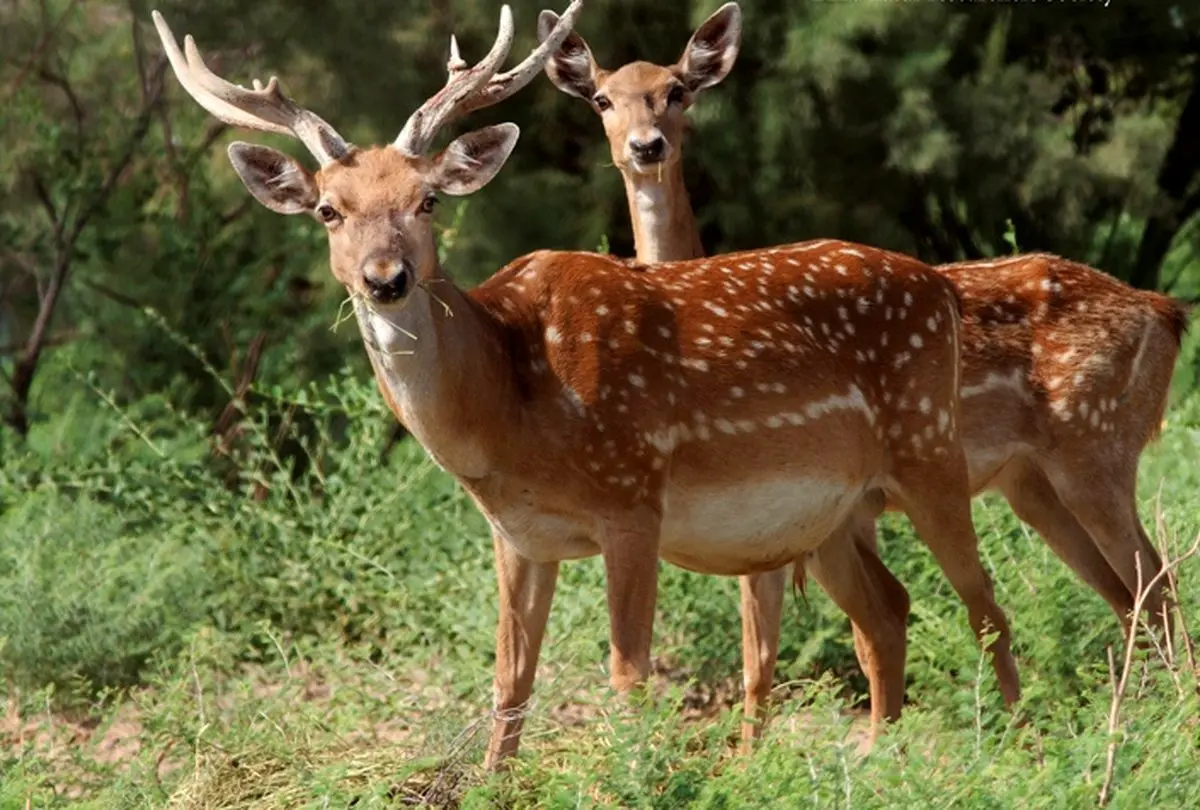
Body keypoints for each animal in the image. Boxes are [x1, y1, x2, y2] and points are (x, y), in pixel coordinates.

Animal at [147, 1, 1022, 772]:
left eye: (426, 200)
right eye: (328, 210)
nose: (385, 278)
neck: (508, 410)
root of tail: (941, 288)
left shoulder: (632, 495)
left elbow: (628, 674)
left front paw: (632, 778)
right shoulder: (516, 534)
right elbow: (510, 679)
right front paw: (495, 784)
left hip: (929, 447)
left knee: (984, 607)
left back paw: (1012, 751)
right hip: (830, 513)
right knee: (889, 613)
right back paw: (878, 758)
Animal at [542, 0, 1190, 748]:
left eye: (677, 89)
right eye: (601, 98)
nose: (646, 147)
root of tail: (1167, 312)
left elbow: (800, 640)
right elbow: (779, 648)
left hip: (1095, 446)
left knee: (1153, 580)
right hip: (1033, 483)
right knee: (1124, 593)